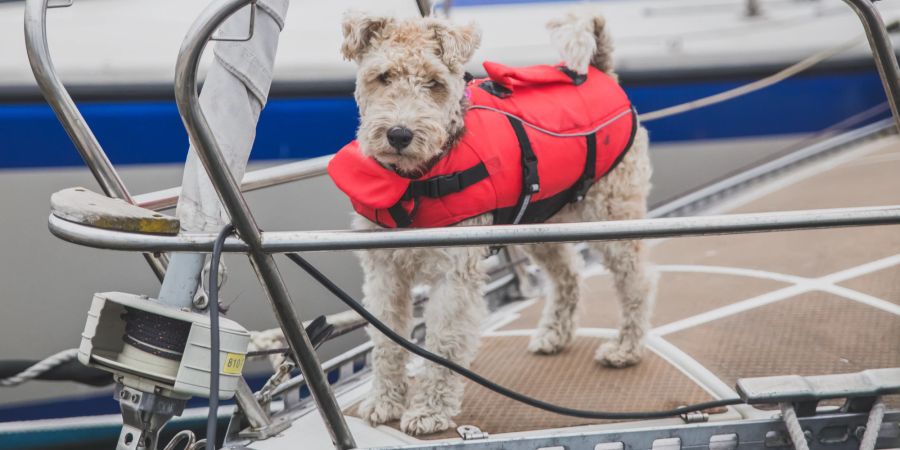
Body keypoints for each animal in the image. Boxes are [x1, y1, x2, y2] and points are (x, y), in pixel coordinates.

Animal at [334, 10, 656, 434]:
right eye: (383, 76)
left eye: (434, 82)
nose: (399, 135)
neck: (418, 179)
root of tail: (602, 70)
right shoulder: (384, 271)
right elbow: (387, 340)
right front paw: (384, 402)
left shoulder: (453, 273)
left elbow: (443, 342)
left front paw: (429, 411)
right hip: (543, 225)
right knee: (568, 276)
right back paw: (554, 335)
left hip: (614, 217)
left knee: (637, 282)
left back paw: (625, 349)